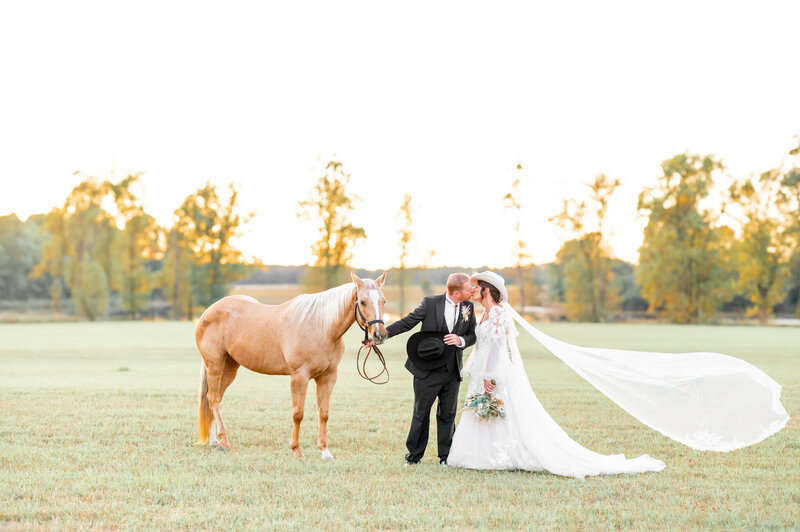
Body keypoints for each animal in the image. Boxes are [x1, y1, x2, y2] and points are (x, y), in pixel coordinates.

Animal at [194, 272, 388, 460]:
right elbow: (298, 414)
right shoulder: (299, 376)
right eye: (362, 302)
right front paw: (297, 451)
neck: (321, 327)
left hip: (229, 367)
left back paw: (215, 441)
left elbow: (323, 413)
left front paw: (325, 452)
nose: (379, 335)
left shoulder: (328, 377)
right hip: (215, 365)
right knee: (213, 399)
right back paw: (224, 440)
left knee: (214, 399)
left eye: (383, 300)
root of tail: (208, 312)